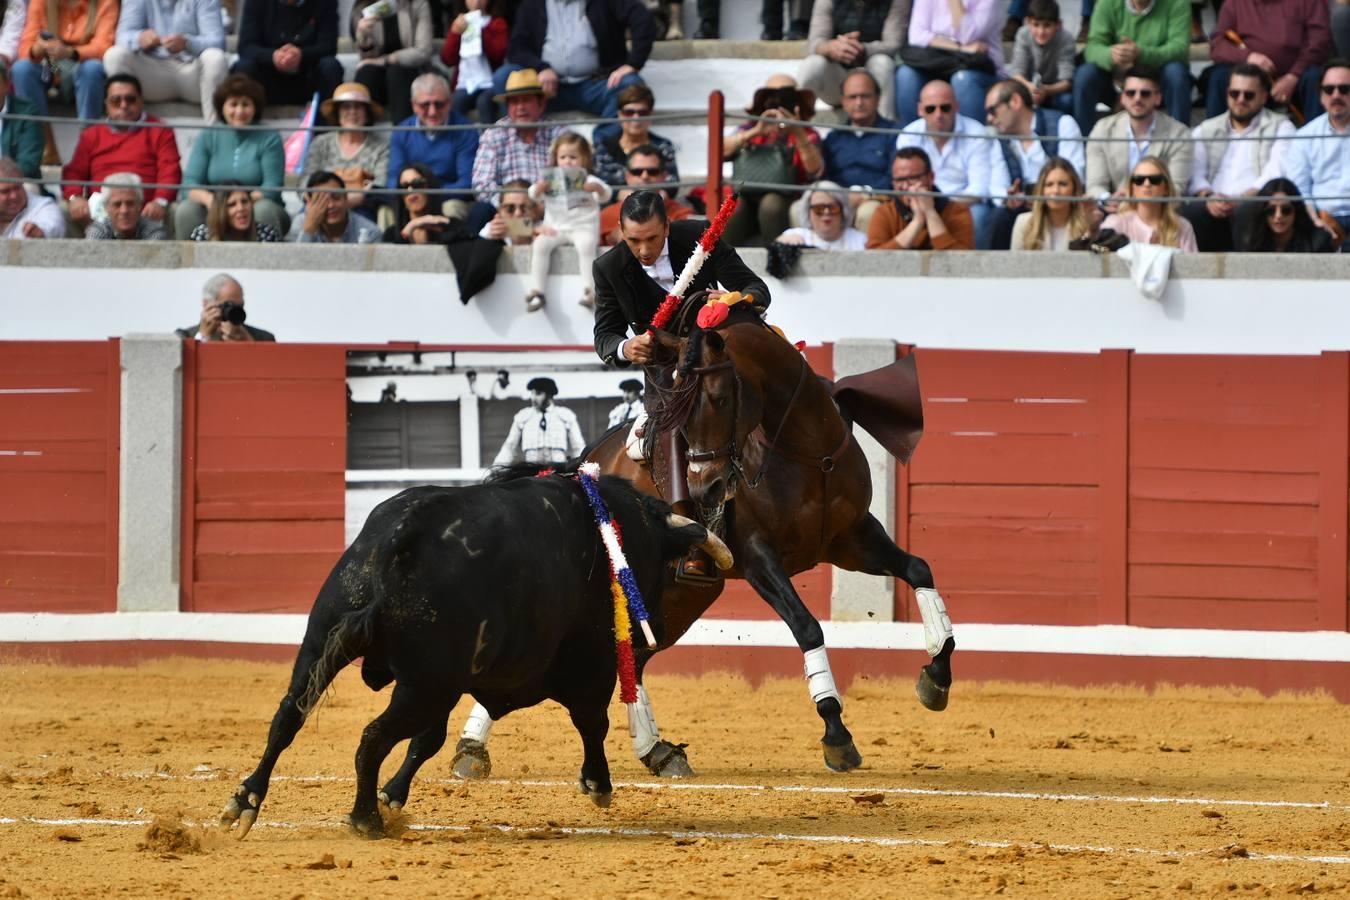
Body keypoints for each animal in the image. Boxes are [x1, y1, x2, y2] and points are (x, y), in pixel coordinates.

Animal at [220, 469, 729, 841]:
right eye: (659, 567)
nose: (652, 631)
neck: (616, 533)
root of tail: (402, 535)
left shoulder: (459, 682)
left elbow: (429, 741)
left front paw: (394, 795)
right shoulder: (590, 667)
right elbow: (593, 723)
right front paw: (598, 785)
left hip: (325, 645)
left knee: (289, 717)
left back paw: (244, 803)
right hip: (423, 686)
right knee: (371, 737)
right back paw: (365, 819)